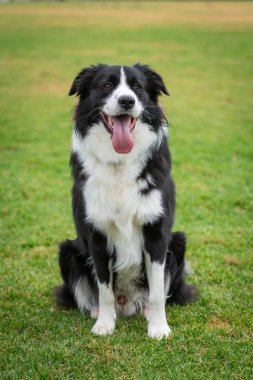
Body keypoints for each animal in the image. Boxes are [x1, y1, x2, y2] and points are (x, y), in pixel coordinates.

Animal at [55, 64, 197, 338]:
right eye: (107, 86)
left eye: (137, 87)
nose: (127, 101)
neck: (119, 162)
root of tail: (127, 303)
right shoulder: (97, 234)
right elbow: (104, 289)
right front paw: (105, 325)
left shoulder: (157, 232)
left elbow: (156, 292)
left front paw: (159, 328)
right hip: (67, 251)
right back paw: (97, 312)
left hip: (178, 242)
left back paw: (145, 311)